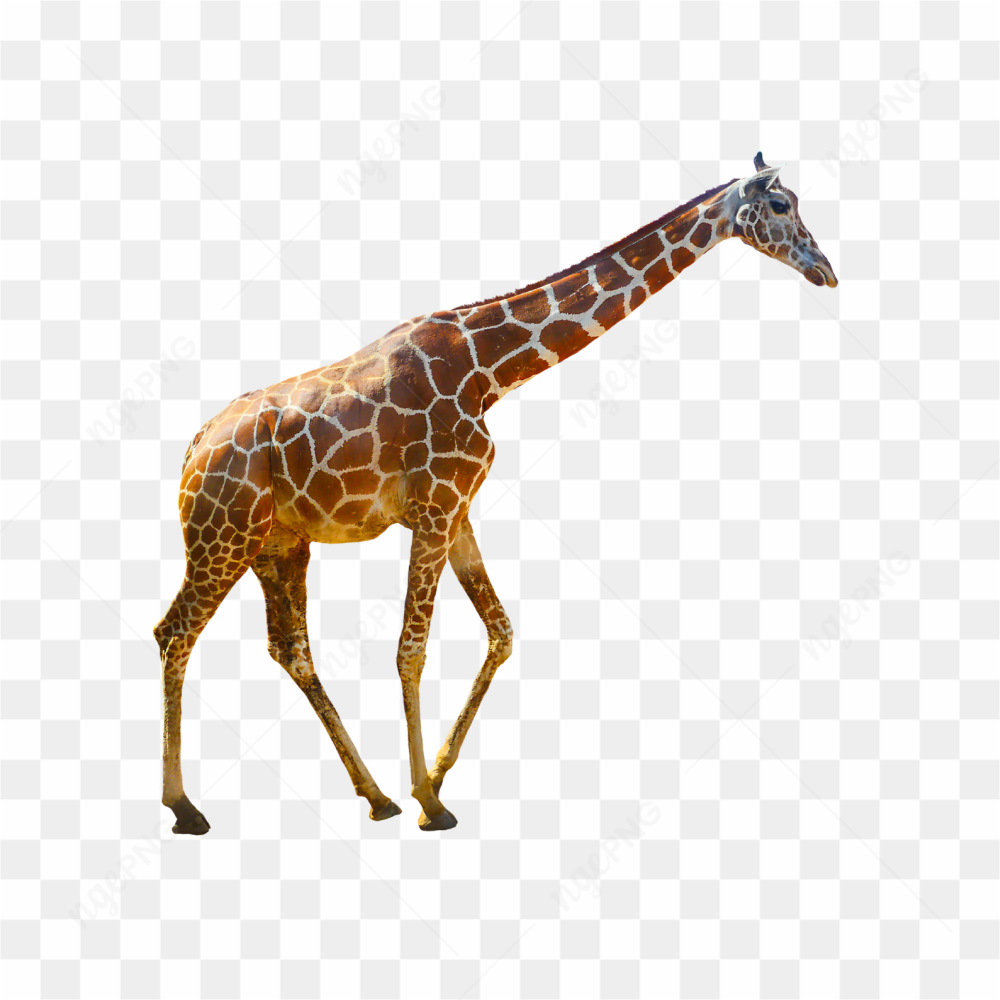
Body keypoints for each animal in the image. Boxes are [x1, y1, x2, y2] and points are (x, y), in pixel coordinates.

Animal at [155, 153, 837, 834]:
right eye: (781, 206)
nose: (825, 271)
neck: (488, 367)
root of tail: (193, 447)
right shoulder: (434, 508)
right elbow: (411, 649)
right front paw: (430, 801)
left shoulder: (457, 510)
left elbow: (501, 632)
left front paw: (433, 779)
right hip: (222, 536)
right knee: (175, 633)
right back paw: (185, 806)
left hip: (279, 546)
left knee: (290, 649)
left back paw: (375, 797)